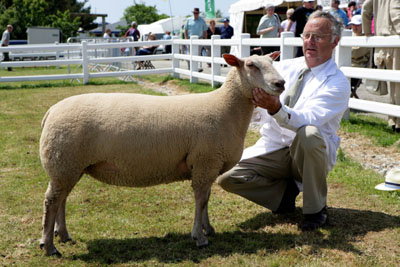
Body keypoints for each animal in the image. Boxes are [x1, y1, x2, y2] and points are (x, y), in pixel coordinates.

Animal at [39, 53, 284, 256]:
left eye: (273, 62)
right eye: (251, 65)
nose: (280, 83)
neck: (225, 107)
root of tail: (51, 111)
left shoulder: (208, 166)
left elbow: (206, 199)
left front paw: (208, 228)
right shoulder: (205, 162)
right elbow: (200, 199)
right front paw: (199, 237)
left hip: (69, 165)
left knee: (61, 199)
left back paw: (63, 235)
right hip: (63, 161)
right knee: (52, 201)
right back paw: (49, 245)